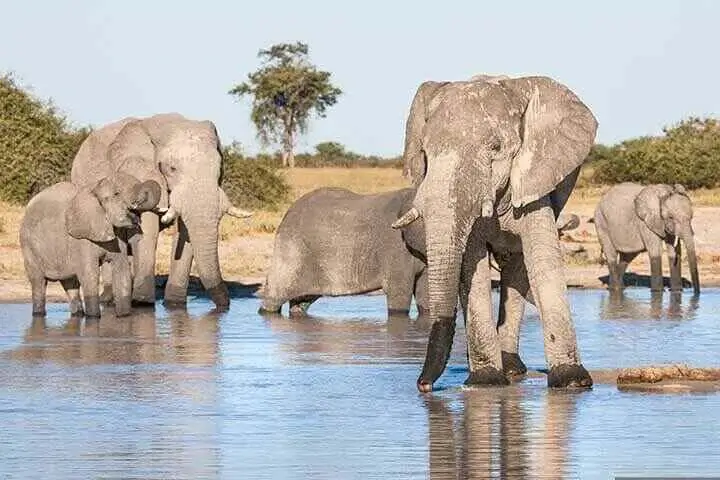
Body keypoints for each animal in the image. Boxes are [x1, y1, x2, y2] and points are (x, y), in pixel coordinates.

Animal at [19, 173, 162, 318]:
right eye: (117, 193)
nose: (135, 207)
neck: (95, 189)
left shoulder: (117, 235)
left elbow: (122, 271)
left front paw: (124, 317)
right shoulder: (81, 238)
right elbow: (90, 274)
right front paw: (94, 318)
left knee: (71, 284)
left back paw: (77, 315)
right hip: (28, 246)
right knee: (39, 282)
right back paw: (38, 314)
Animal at [70, 112, 250, 310]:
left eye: (219, 169)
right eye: (172, 168)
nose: (224, 307)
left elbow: (185, 233)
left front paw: (174, 305)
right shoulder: (140, 172)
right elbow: (148, 229)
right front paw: (143, 304)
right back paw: (109, 300)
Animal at [260, 188, 424, 318]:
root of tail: (287, 214)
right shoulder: (395, 249)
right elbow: (398, 294)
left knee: (301, 302)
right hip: (290, 251)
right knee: (273, 299)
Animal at [394, 74, 596, 390]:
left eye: (495, 148)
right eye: (425, 152)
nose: (423, 385)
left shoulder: (534, 175)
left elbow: (543, 260)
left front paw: (572, 382)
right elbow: (471, 268)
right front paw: (485, 381)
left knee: (517, 266)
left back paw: (513, 369)